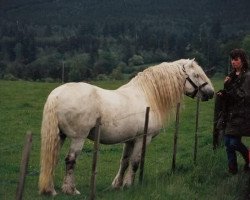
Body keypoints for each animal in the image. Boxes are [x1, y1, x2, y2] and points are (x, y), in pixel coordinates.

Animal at [39, 58, 215, 195]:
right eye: (196, 75)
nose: (211, 93)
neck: (147, 95)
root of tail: (56, 94)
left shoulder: (129, 140)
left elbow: (124, 161)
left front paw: (117, 185)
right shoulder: (143, 139)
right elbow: (135, 162)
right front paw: (129, 185)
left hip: (59, 136)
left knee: (53, 158)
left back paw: (50, 189)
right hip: (78, 138)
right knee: (70, 160)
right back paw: (70, 189)